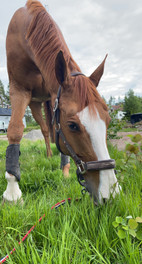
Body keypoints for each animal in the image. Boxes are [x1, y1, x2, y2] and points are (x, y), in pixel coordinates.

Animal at [3, 0, 120, 204]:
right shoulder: (18, 89)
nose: (110, 193)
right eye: (72, 125)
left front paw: (65, 170)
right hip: (34, 103)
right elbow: (15, 130)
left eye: (108, 121)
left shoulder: (53, 93)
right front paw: (12, 192)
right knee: (44, 129)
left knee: (48, 129)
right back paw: (49, 155)